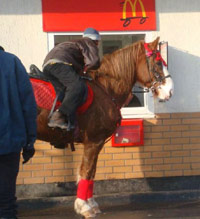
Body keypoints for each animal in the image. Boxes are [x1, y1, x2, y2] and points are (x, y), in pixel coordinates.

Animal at [35, 36, 173, 218]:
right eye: (158, 62)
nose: (170, 91)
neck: (104, 88)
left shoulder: (97, 143)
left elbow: (92, 173)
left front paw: (91, 204)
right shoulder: (94, 141)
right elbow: (86, 171)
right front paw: (84, 207)